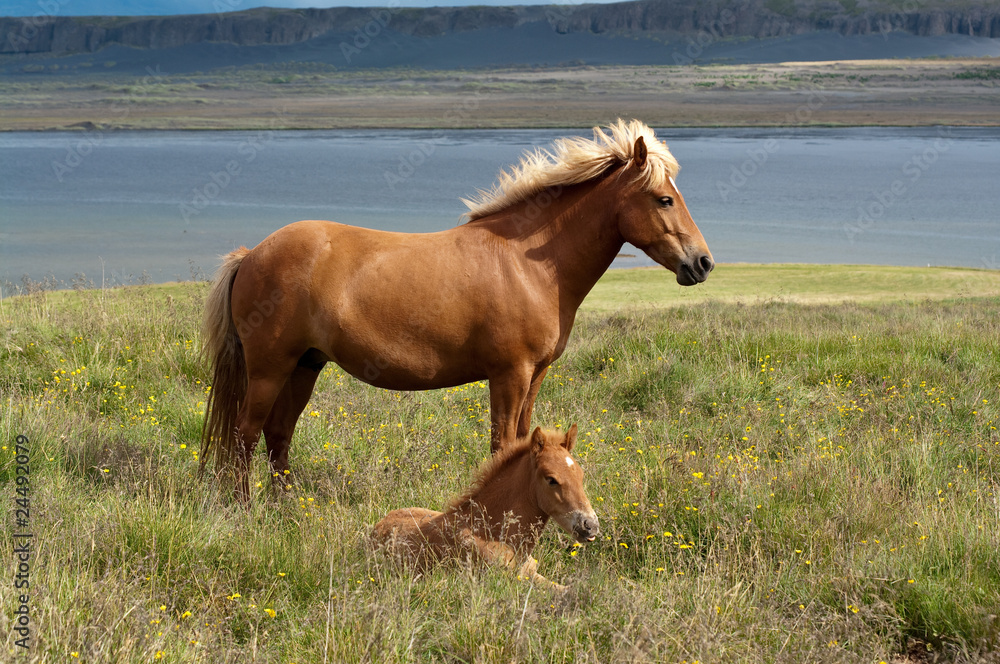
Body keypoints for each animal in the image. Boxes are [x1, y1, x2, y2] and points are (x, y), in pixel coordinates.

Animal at [200, 119, 713, 501]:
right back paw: (246, 509)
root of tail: (252, 254)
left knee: (277, 436)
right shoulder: (509, 374)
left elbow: (523, 442)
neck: (528, 262)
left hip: (305, 365)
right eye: (665, 199)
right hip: (271, 368)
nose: (703, 263)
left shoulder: (535, 376)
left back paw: (286, 508)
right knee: (246, 435)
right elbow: (501, 446)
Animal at [370, 424, 598, 590]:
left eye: (580, 475)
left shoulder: (532, 572)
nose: (590, 525)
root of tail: (377, 527)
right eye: (551, 479)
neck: (491, 531)